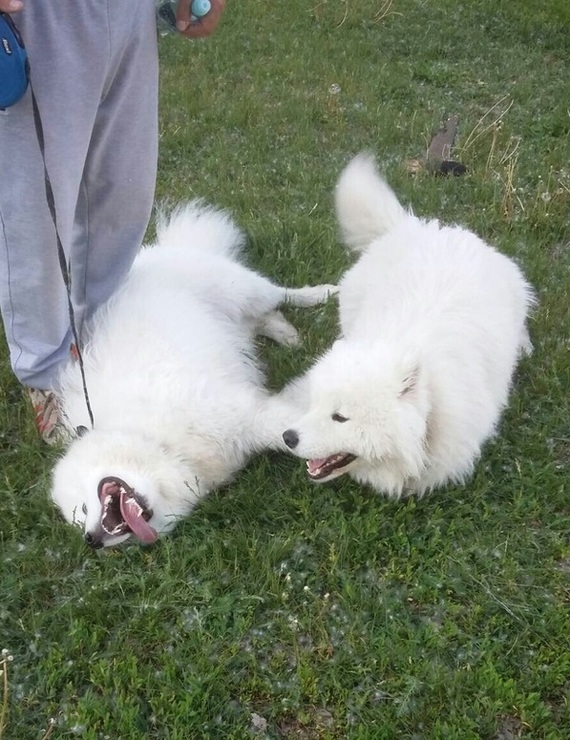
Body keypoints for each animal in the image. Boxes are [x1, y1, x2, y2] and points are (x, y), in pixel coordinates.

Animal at [51, 199, 336, 548]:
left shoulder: (247, 414)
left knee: (281, 293)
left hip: (242, 288)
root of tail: (160, 249)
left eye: (83, 504)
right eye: (78, 518)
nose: (91, 540)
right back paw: (286, 333)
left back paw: (324, 293)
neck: (156, 437)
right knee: (258, 321)